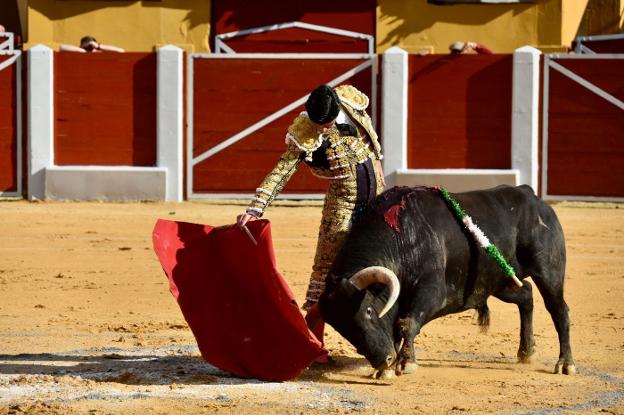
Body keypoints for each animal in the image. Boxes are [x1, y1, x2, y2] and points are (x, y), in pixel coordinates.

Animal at [322, 187, 576, 378]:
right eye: (343, 328)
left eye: (367, 310)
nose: (383, 360)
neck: (402, 238)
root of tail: (532, 197)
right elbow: (396, 326)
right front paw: (387, 369)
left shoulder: (432, 292)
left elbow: (406, 323)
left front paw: (406, 363)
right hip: (500, 282)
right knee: (526, 295)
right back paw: (526, 352)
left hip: (548, 271)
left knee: (558, 310)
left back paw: (565, 364)